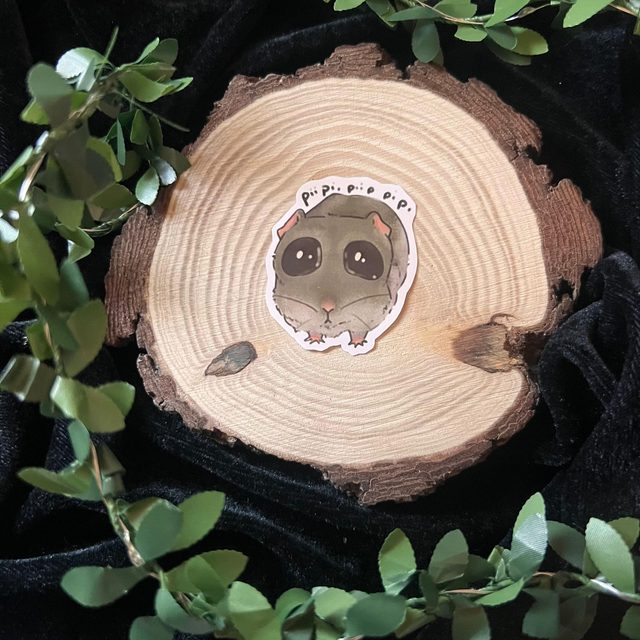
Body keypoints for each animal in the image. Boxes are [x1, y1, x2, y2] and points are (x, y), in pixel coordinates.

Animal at [271, 193, 410, 349]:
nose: (328, 307)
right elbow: (313, 329)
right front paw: (315, 338)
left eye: (362, 259)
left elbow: (358, 331)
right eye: (300, 256)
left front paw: (357, 342)